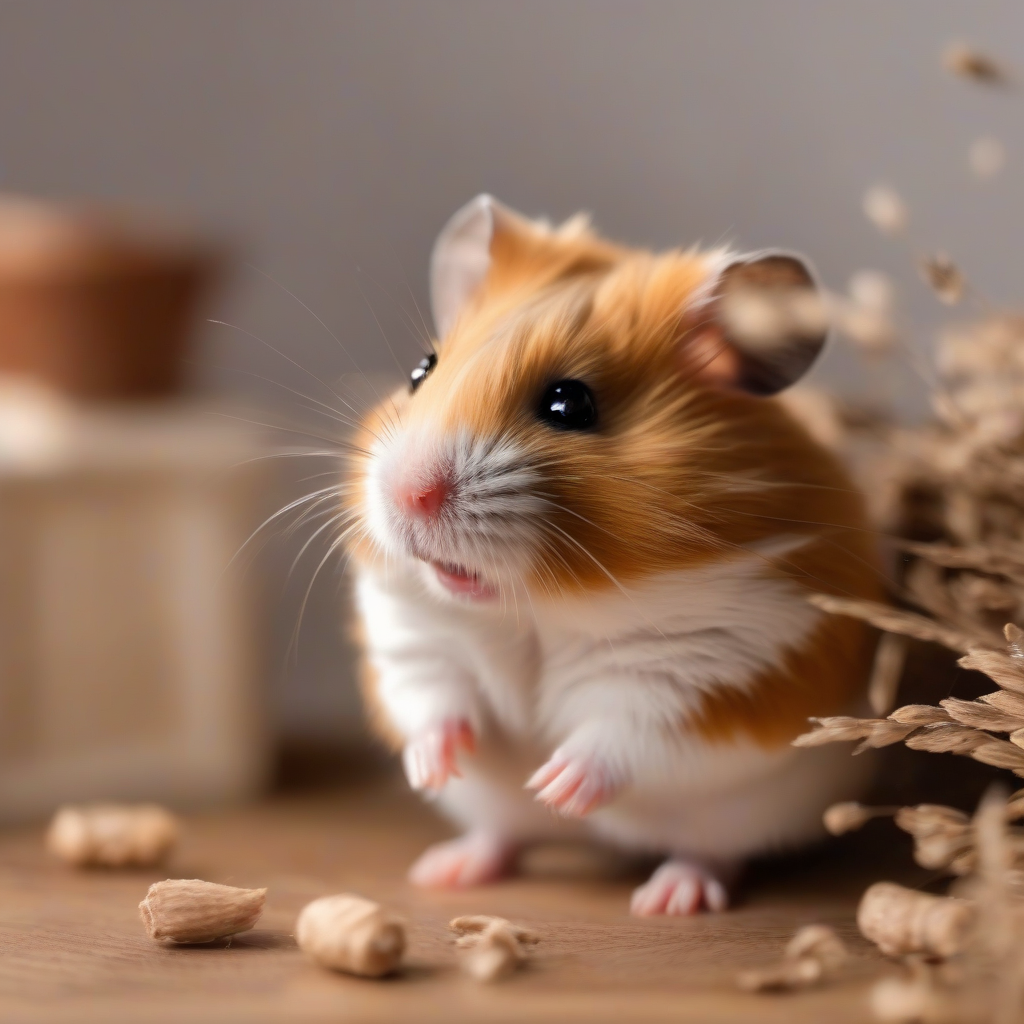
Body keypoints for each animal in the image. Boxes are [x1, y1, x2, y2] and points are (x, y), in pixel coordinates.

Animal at [346, 194, 881, 915]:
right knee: (502, 834)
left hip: (735, 813)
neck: (534, 610)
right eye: (419, 371)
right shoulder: (411, 635)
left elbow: (623, 728)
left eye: (568, 403)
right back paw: (447, 869)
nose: (409, 494)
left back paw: (669, 897)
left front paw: (554, 783)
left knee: (711, 852)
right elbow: (432, 696)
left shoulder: (714, 667)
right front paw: (437, 766)